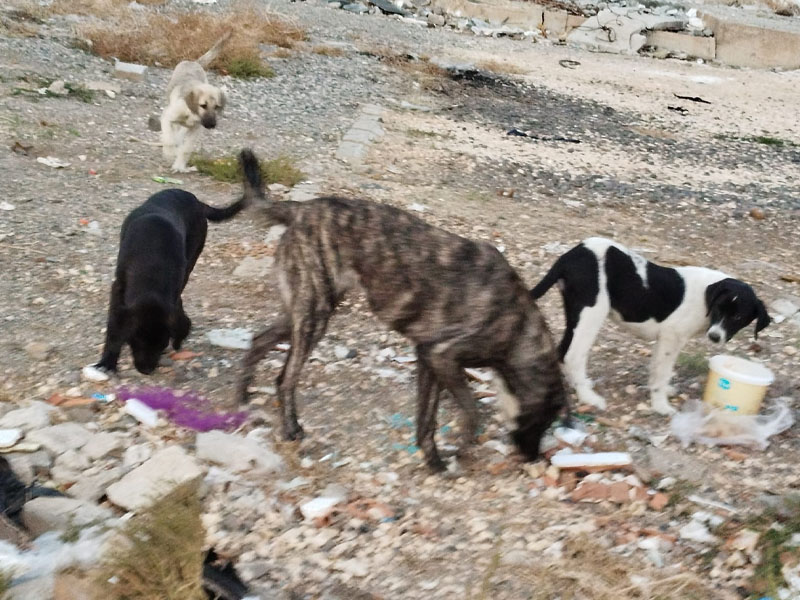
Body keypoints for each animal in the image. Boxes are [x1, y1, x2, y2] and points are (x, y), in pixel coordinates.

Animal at [95, 150, 260, 372]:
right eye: (134, 342)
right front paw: (107, 362)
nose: (147, 370)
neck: (151, 272)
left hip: (193, 256)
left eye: (162, 343)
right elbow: (113, 329)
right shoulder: (118, 291)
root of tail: (197, 202)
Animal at [162, 32, 231, 172]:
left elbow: (186, 149)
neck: (191, 113)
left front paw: (180, 166)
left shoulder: (195, 130)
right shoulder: (167, 118)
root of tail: (193, 62)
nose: (211, 125)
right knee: (175, 133)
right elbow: (168, 139)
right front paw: (170, 153)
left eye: (217, 107)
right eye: (203, 105)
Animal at [239, 158, 568, 468]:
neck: (519, 326)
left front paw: (434, 461)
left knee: (258, 341)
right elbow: (472, 410)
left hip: (304, 312)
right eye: (542, 422)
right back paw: (290, 428)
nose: (532, 458)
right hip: (314, 317)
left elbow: (426, 419)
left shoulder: (428, 360)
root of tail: (301, 208)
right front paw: (462, 448)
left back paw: (241, 398)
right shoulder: (442, 356)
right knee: (285, 379)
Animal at [532, 237, 768, 414]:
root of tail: (570, 255)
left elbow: (656, 369)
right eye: (719, 309)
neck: (705, 297)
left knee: (562, 350)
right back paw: (588, 397)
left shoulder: (665, 340)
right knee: (573, 355)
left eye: (738, 317)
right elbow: (662, 372)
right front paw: (661, 405)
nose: (715, 337)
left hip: (575, 314)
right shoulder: (671, 338)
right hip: (591, 314)